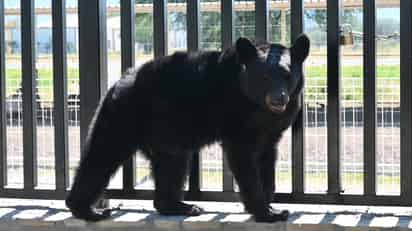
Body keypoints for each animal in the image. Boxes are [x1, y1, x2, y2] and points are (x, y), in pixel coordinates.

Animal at [65, 33, 308, 222]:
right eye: (264, 76)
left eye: (288, 75)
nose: (279, 98)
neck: (257, 105)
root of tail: (118, 82)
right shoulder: (235, 117)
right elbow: (244, 159)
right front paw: (266, 212)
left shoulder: (273, 128)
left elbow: (267, 159)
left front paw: (271, 204)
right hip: (124, 116)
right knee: (102, 155)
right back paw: (89, 210)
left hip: (166, 135)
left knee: (172, 165)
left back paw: (180, 206)